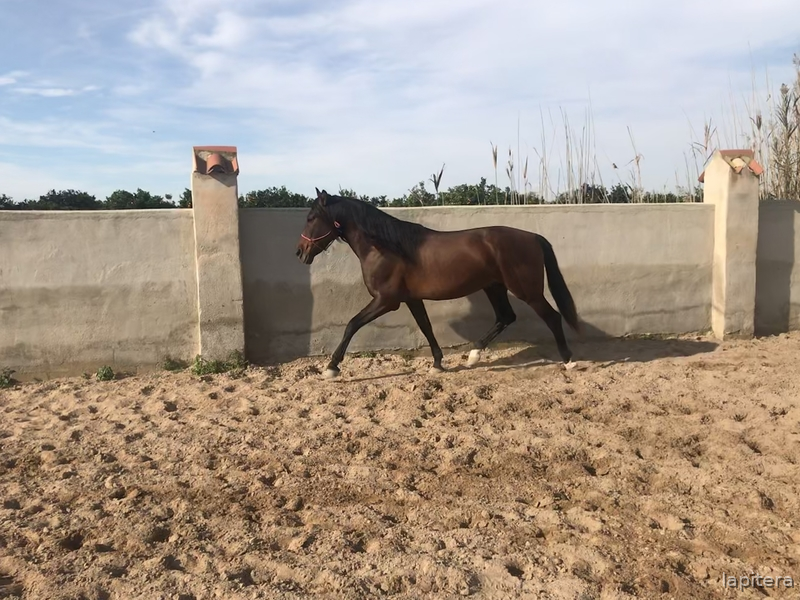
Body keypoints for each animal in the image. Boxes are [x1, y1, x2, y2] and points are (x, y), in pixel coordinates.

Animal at [295, 188, 581, 379]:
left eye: (311, 218)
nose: (300, 252)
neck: (387, 248)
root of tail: (533, 237)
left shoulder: (386, 300)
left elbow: (352, 324)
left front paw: (331, 367)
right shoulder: (411, 299)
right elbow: (426, 327)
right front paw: (437, 363)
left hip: (527, 291)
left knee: (552, 317)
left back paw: (568, 361)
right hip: (494, 286)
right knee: (505, 317)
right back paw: (473, 355)